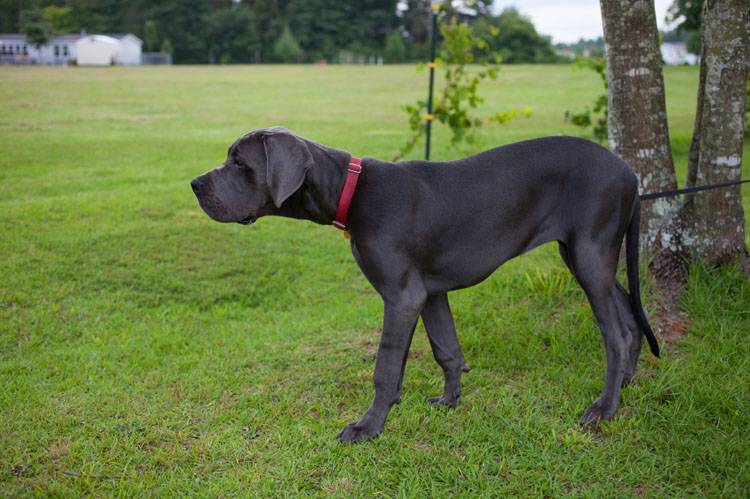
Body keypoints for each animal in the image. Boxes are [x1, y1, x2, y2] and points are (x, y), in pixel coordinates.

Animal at [191, 127, 660, 444]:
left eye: (240, 163)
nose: (194, 184)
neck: (351, 190)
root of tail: (630, 173)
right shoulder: (431, 291)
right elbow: (447, 350)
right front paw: (450, 401)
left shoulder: (402, 295)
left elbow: (385, 369)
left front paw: (368, 427)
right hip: (585, 255)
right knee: (630, 317)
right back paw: (626, 382)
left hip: (590, 253)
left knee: (615, 333)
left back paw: (604, 408)